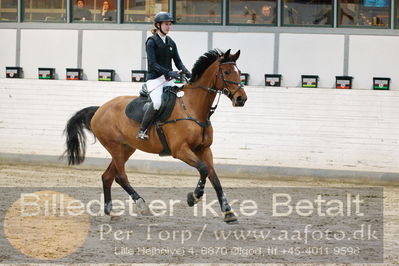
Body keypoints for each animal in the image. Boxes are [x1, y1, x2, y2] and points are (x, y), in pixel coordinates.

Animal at [63, 48, 247, 222]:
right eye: (226, 72)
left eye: (239, 72)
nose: (241, 99)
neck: (193, 108)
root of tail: (100, 109)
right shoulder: (180, 150)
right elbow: (203, 169)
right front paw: (193, 197)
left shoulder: (204, 149)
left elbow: (214, 178)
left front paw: (228, 213)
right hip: (115, 147)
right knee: (121, 176)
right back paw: (141, 205)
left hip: (126, 148)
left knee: (108, 176)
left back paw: (112, 212)